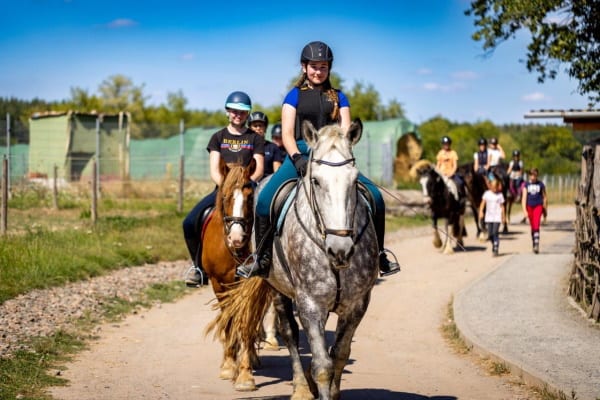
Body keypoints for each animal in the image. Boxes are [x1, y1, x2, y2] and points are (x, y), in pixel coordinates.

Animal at [211, 119, 378, 400]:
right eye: (316, 181)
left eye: (355, 180)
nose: (340, 248)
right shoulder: (310, 304)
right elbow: (322, 365)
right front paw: (313, 384)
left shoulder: (357, 305)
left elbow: (340, 354)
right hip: (277, 288)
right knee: (289, 332)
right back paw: (301, 387)